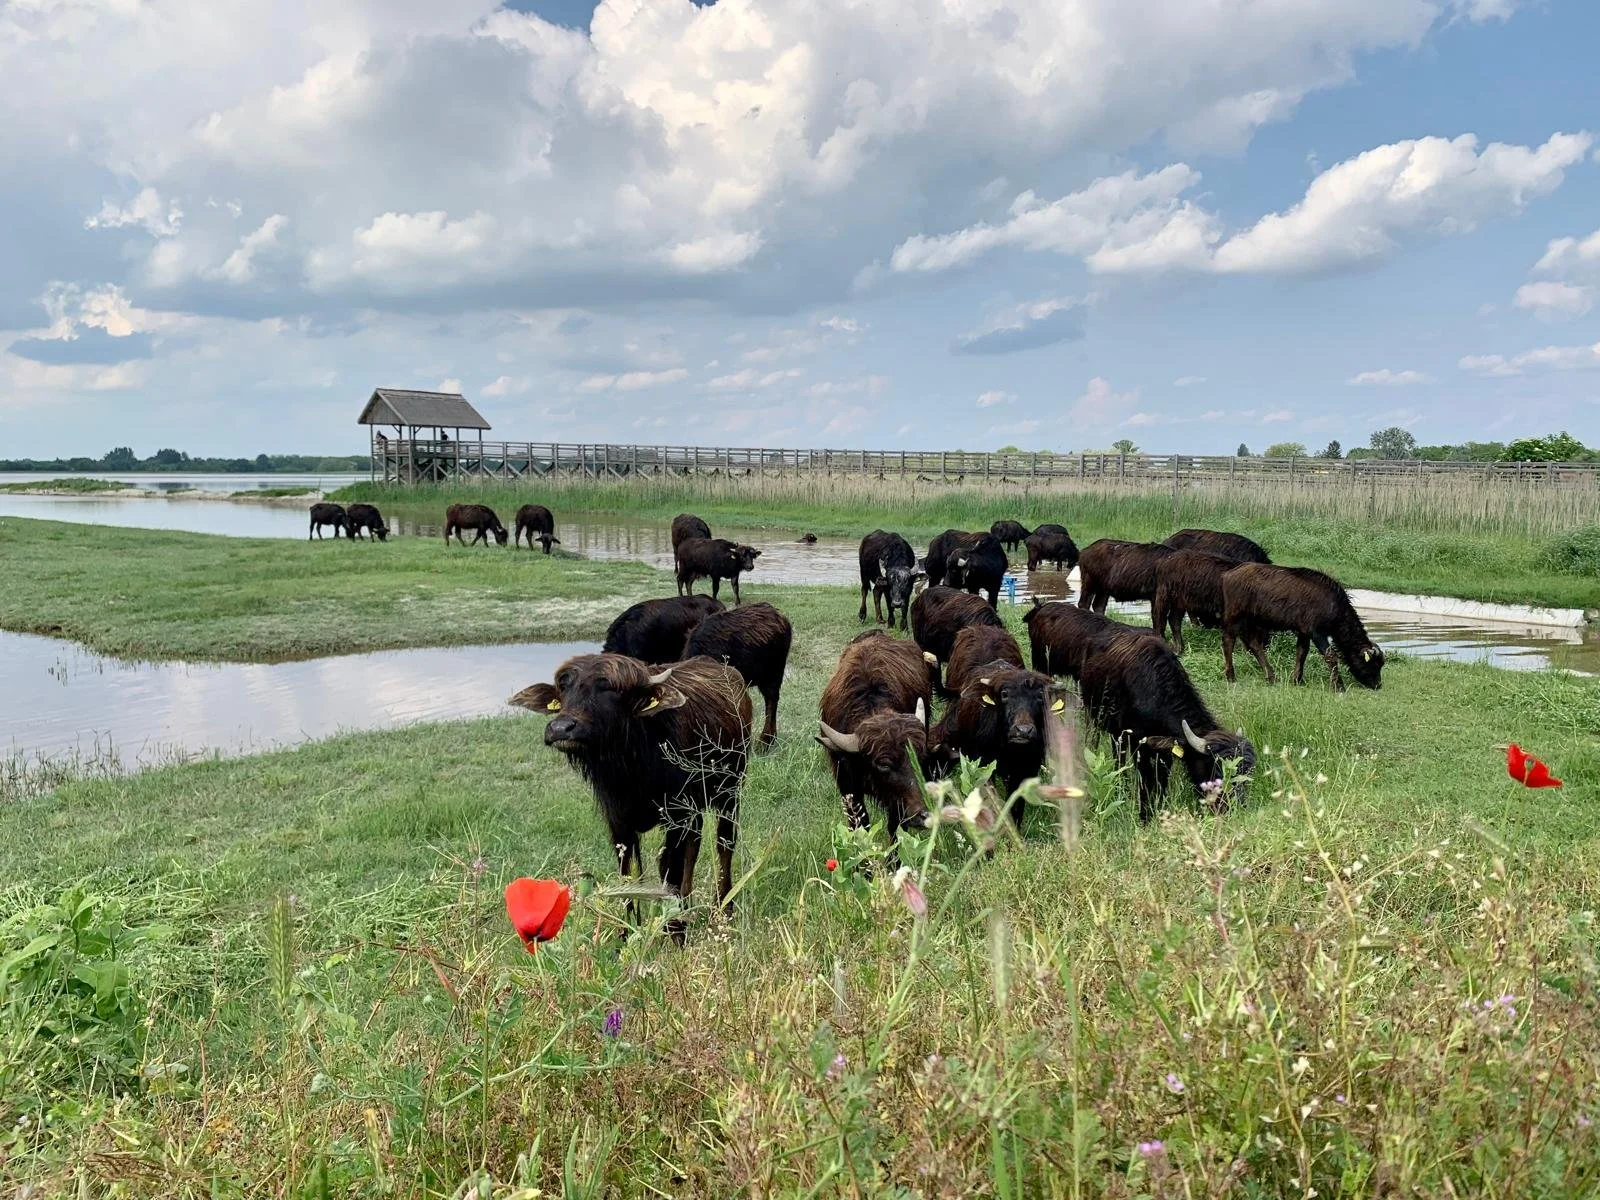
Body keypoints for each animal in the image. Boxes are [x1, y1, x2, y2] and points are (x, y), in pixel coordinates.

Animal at [510, 654, 752, 924]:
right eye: (564, 687)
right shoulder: (619, 822)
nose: (561, 728)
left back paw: (723, 908)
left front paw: (673, 927)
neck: (631, 771)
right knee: (695, 843)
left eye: (611, 689)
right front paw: (629, 929)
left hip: (730, 791)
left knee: (724, 842)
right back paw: (688, 906)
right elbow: (629, 876)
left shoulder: (676, 816)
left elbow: (669, 871)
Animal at [817, 631, 935, 842]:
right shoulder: (847, 786)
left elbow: (895, 827)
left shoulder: (896, 802)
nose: (923, 815)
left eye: (919, 758)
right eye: (884, 764)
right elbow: (860, 825)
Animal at [930, 664, 1069, 827]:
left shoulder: (1026, 771)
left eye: (1041, 696)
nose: (1023, 731)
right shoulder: (984, 766)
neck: (1009, 750)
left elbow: (1015, 805)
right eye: (1004, 694)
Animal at [1078, 634, 1256, 823]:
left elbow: (1161, 780)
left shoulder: (1165, 750)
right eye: (1216, 771)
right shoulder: (1139, 746)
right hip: (1095, 718)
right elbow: (1145, 781)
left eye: (1246, 773)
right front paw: (1145, 816)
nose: (1235, 808)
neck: (1155, 694)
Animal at [1221, 564, 1384, 691]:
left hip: (1253, 620)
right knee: (1228, 641)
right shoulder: (1316, 632)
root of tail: (1229, 574)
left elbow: (1301, 653)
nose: (1377, 685)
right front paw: (1338, 686)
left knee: (1254, 644)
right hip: (1235, 616)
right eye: (1374, 664)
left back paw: (1271, 677)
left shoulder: (1304, 631)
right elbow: (1330, 656)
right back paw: (1231, 676)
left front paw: (1297, 680)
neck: (1334, 606)